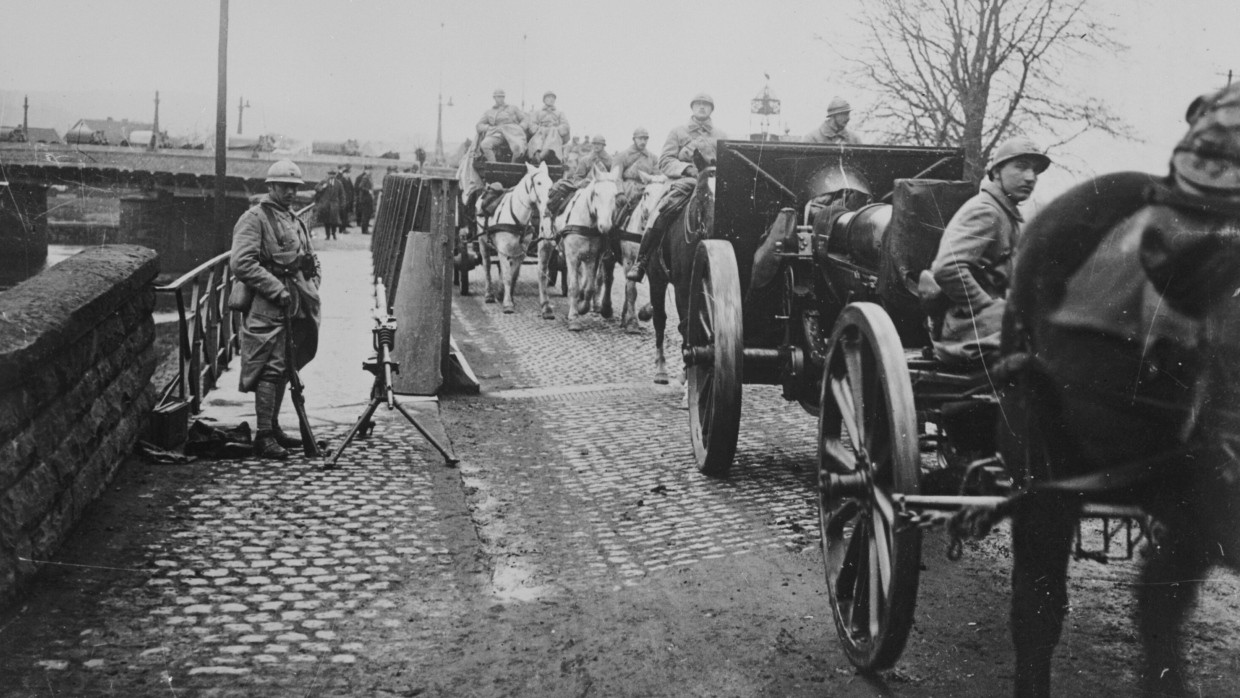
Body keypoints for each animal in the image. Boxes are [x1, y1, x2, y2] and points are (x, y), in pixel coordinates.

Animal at [473, 161, 553, 313]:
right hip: (482, 242)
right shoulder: (503, 251)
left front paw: (506, 296)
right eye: (539, 183)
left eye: (551, 183)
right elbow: (507, 276)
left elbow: (513, 275)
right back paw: (489, 294)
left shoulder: (520, 253)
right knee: (487, 266)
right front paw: (508, 304)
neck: (517, 218)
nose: (548, 207)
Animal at [540, 164, 620, 332]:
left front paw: (582, 308)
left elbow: (589, 287)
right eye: (596, 193)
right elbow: (574, 287)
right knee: (542, 273)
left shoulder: (592, 258)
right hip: (545, 245)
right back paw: (545, 307)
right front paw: (574, 318)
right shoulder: (572, 257)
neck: (586, 223)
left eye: (615, 195)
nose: (605, 226)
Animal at [617, 174, 674, 339]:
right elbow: (632, 291)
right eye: (646, 193)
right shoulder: (629, 262)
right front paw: (632, 323)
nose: (652, 215)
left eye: (665, 193)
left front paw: (644, 313)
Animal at [649, 150, 719, 386]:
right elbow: (686, 325)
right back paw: (661, 369)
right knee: (660, 319)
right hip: (656, 280)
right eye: (702, 194)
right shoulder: (682, 287)